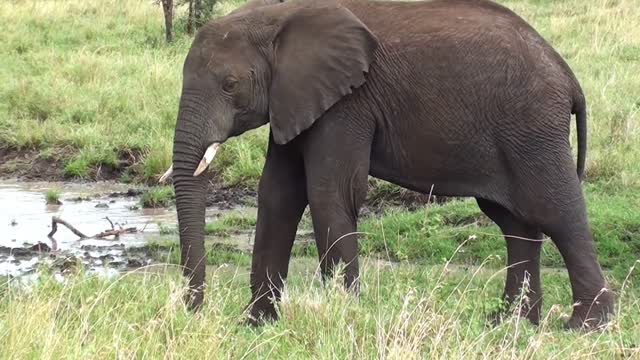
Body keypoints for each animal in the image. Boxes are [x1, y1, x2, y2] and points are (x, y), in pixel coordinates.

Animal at [160, 0, 616, 330]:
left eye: (229, 85)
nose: (194, 311)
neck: (277, 15)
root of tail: (568, 77)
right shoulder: (295, 97)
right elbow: (278, 195)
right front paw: (256, 326)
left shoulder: (347, 102)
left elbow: (329, 193)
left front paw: (343, 318)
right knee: (515, 223)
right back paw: (509, 322)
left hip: (532, 127)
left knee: (555, 212)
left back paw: (585, 326)